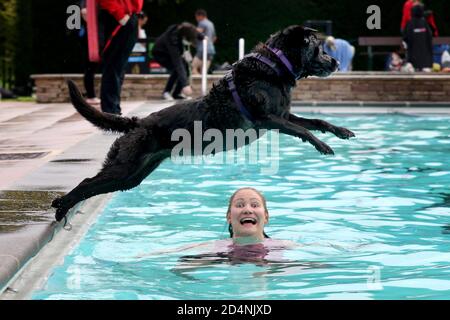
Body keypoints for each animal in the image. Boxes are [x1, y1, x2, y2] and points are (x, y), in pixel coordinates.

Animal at [52, 25, 356, 221]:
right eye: (318, 48)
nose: (335, 62)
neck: (273, 67)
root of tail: (137, 122)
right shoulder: (267, 119)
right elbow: (303, 128)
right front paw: (322, 146)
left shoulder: (282, 116)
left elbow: (315, 120)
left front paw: (340, 131)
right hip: (124, 166)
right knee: (87, 181)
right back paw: (61, 205)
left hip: (132, 176)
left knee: (95, 185)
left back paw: (62, 207)